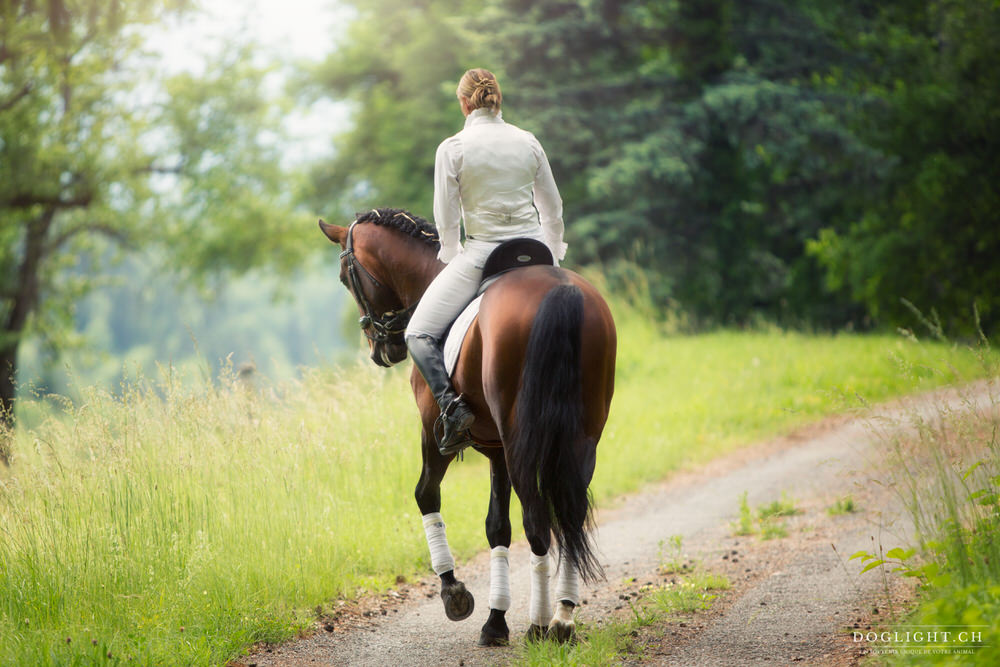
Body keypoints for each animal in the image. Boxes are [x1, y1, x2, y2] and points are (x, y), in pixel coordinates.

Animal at [320, 207, 616, 648]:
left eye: (344, 276)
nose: (381, 350)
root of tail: (560, 291)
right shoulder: (496, 450)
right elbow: (497, 527)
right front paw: (496, 620)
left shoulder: (433, 433)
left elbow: (425, 495)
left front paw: (454, 593)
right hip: (581, 437)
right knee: (569, 514)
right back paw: (563, 618)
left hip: (520, 439)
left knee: (538, 523)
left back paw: (540, 625)